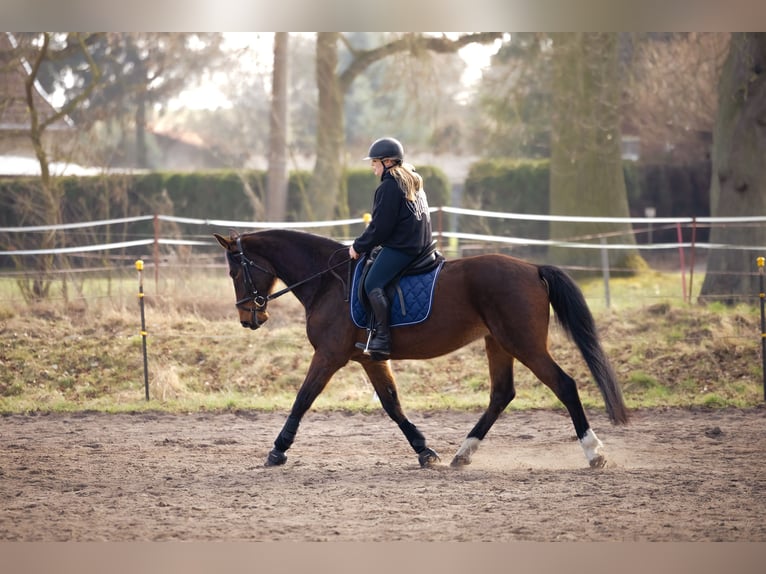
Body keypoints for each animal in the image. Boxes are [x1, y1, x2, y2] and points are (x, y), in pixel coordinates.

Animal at [214, 229, 629, 469]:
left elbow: (303, 399)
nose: (249, 318)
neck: (328, 281)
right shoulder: (369, 359)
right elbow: (392, 405)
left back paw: (594, 452)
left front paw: (278, 450)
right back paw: (463, 453)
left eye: (235, 272)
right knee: (501, 394)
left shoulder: (329, 356)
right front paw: (424, 451)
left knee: (564, 385)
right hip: (499, 344)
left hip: (523, 344)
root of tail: (532, 268)